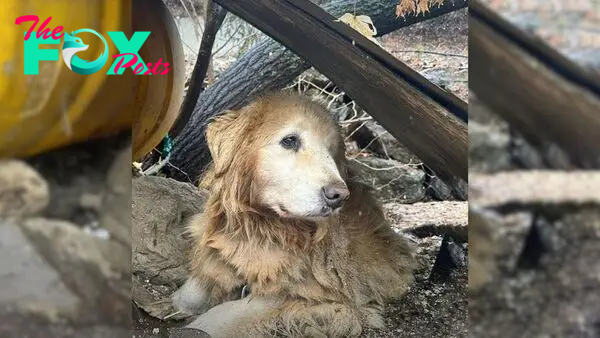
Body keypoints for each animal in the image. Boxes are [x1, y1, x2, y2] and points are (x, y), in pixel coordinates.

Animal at [171, 91, 414, 336]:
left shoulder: (306, 297)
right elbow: (191, 290)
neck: (261, 227)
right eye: (289, 141)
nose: (338, 196)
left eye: (331, 151)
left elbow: (222, 314)